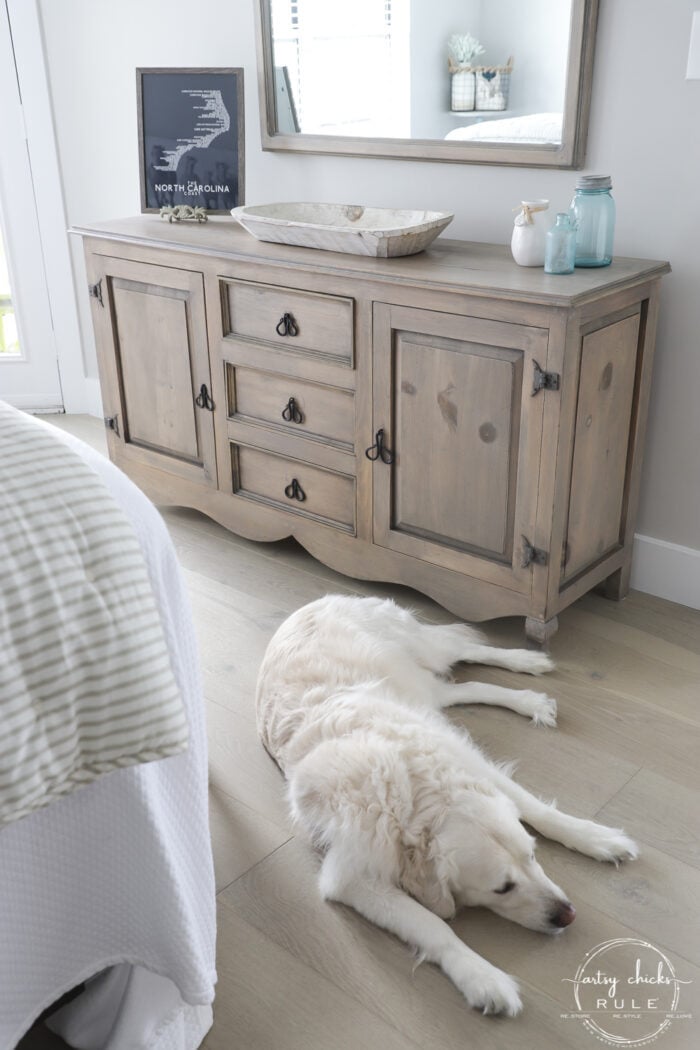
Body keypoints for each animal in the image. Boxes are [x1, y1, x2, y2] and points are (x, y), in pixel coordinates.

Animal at [259, 596, 642, 1012]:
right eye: (502, 888)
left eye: (532, 856)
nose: (567, 915)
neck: (412, 793)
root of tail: (318, 600)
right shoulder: (352, 872)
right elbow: (433, 925)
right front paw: (482, 977)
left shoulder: (470, 765)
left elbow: (536, 809)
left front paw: (596, 837)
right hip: (415, 684)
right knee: (462, 686)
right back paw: (527, 697)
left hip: (420, 649)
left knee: (467, 649)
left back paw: (528, 663)